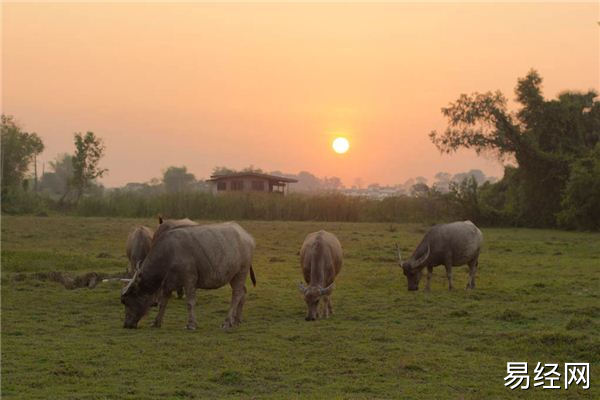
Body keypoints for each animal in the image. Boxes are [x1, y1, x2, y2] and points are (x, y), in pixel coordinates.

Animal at [120, 220, 254, 330]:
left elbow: (190, 302)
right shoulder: (168, 283)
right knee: (243, 292)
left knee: (236, 295)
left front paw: (191, 324)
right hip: (234, 275)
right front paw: (156, 322)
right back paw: (236, 320)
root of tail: (247, 236)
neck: (169, 254)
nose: (126, 324)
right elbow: (163, 302)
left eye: (127, 301)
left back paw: (227, 322)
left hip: (241, 272)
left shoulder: (189, 280)